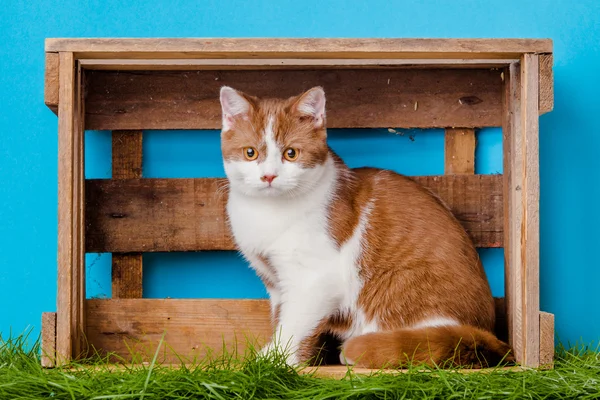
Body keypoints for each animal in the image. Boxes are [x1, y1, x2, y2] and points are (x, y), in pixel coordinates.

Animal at [218, 85, 512, 368]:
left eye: (291, 153)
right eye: (250, 153)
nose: (268, 176)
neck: (269, 211)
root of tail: (488, 335)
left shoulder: (316, 279)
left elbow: (295, 322)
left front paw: (272, 360)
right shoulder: (276, 282)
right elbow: (282, 317)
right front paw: (299, 359)